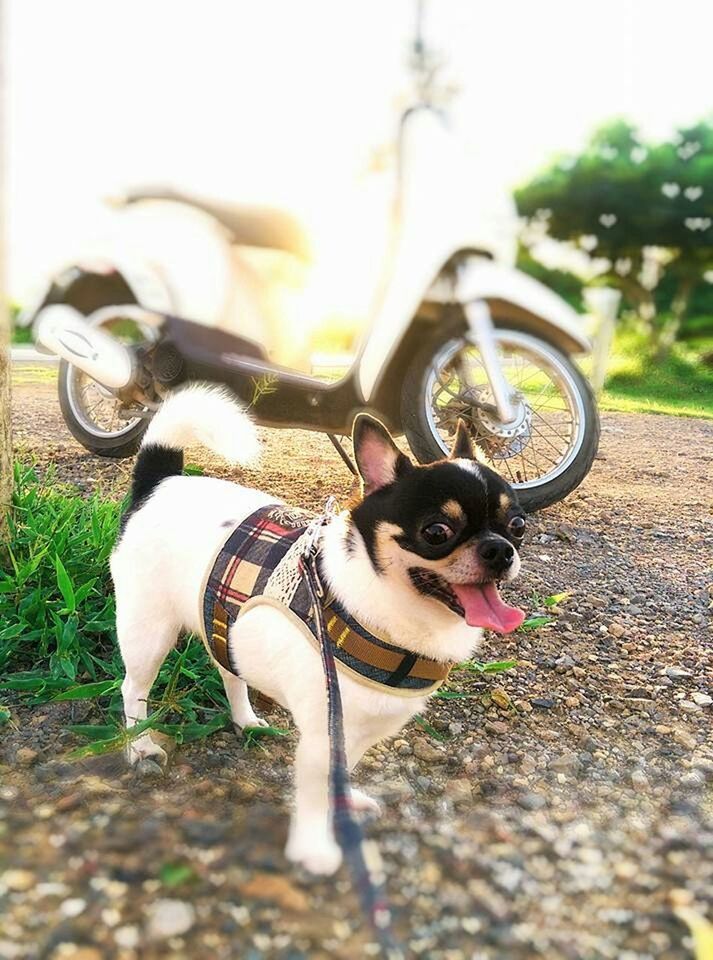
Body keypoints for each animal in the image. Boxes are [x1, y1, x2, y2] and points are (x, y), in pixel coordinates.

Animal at [111, 386, 524, 872]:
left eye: (518, 525)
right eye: (437, 531)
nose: (501, 550)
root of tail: (160, 483)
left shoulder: (353, 734)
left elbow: (340, 776)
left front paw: (342, 805)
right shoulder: (323, 735)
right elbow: (312, 797)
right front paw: (314, 848)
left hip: (225, 619)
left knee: (229, 670)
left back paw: (245, 720)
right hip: (148, 632)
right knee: (133, 688)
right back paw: (140, 745)